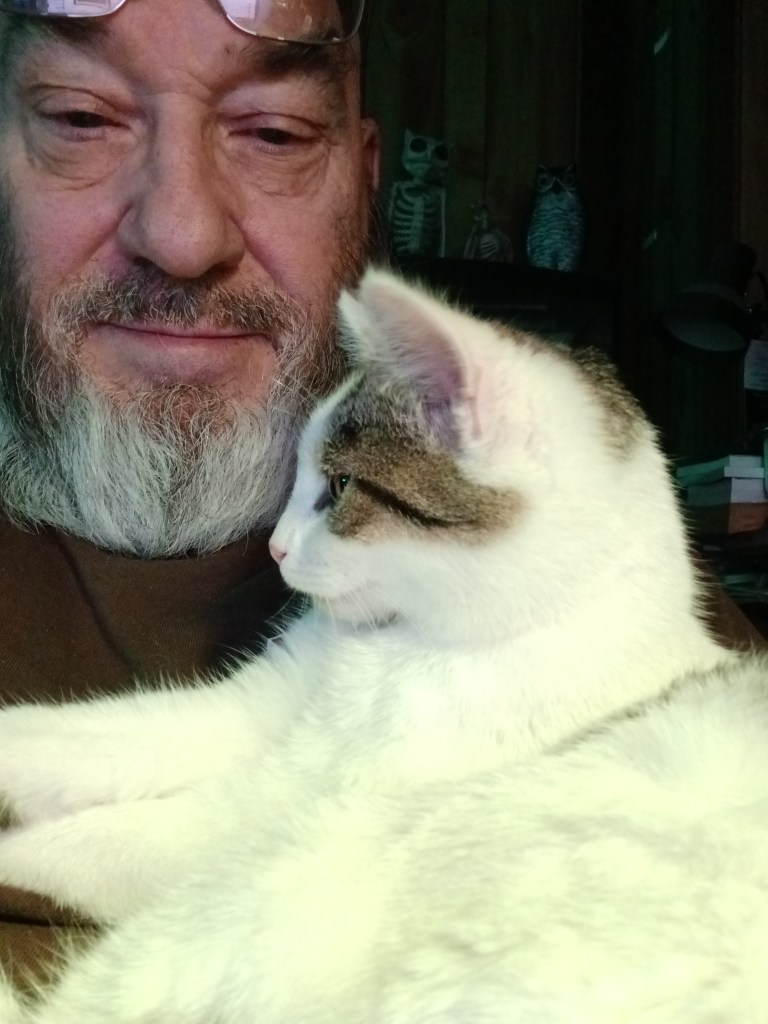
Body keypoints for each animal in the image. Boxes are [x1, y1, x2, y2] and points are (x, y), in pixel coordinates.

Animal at [0, 269, 767, 1022]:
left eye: (339, 486)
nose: (276, 547)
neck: (399, 648)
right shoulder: (247, 709)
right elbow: (84, 737)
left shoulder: (259, 810)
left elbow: (85, 841)